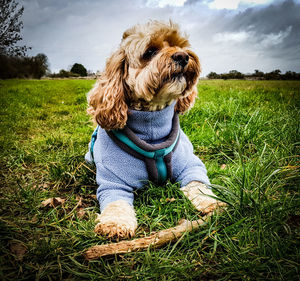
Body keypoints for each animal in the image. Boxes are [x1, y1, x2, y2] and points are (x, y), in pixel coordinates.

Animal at [85, 20, 224, 237]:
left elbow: (198, 184)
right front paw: (115, 224)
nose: (182, 56)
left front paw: (212, 202)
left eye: (180, 45)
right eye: (150, 51)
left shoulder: (191, 165)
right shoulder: (113, 181)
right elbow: (116, 203)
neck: (152, 125)